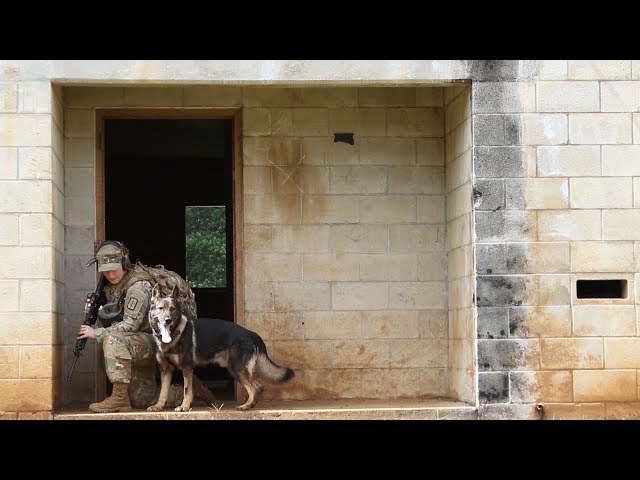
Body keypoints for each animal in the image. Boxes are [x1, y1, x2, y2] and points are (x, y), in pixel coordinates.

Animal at [147, 284, 296, 412]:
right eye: (160, 308)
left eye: (172, 309)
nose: (168, 320)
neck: (173, 336)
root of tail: (252, 334)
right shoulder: (166, 370)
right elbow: (163, 391)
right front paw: (158, 406)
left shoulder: (187, 368)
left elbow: (187, 389)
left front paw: (184, 407)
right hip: (236, 369)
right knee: (258, 387)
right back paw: (250, 405)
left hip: (236, 369)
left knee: (255, 388)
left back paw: (245, 406)